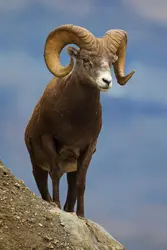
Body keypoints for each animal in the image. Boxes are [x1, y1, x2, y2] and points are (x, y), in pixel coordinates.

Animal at [24, 24, 134, 218]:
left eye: (111, 61)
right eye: (86, 59)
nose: (106, 81)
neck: (74, 122)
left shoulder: (87, 149)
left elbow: (81, 183)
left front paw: (81, 215)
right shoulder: (49, 140)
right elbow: (55, 174)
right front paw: (56, 205)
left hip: (71, 170)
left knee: (72, 188)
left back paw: (70, 211)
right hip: (37, 167)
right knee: (44, 187)